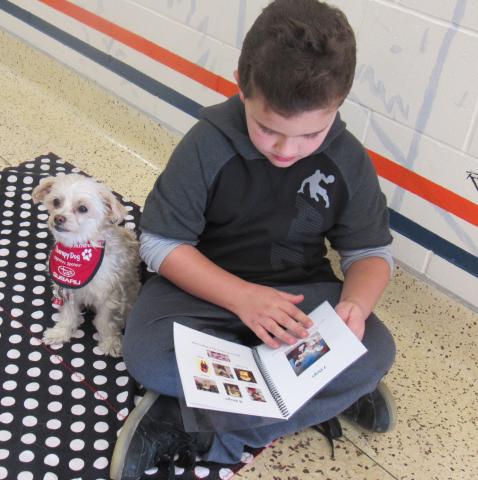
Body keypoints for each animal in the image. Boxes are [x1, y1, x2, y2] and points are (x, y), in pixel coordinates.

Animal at [31, 173, 140, 356]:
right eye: (56, 202)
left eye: (83, 208)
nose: (58, 218)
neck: (77, 247)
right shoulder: (68, 290)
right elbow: (68, 315)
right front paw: (60, 333)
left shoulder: (109, 296)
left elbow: (106, 322)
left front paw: (110, 342)